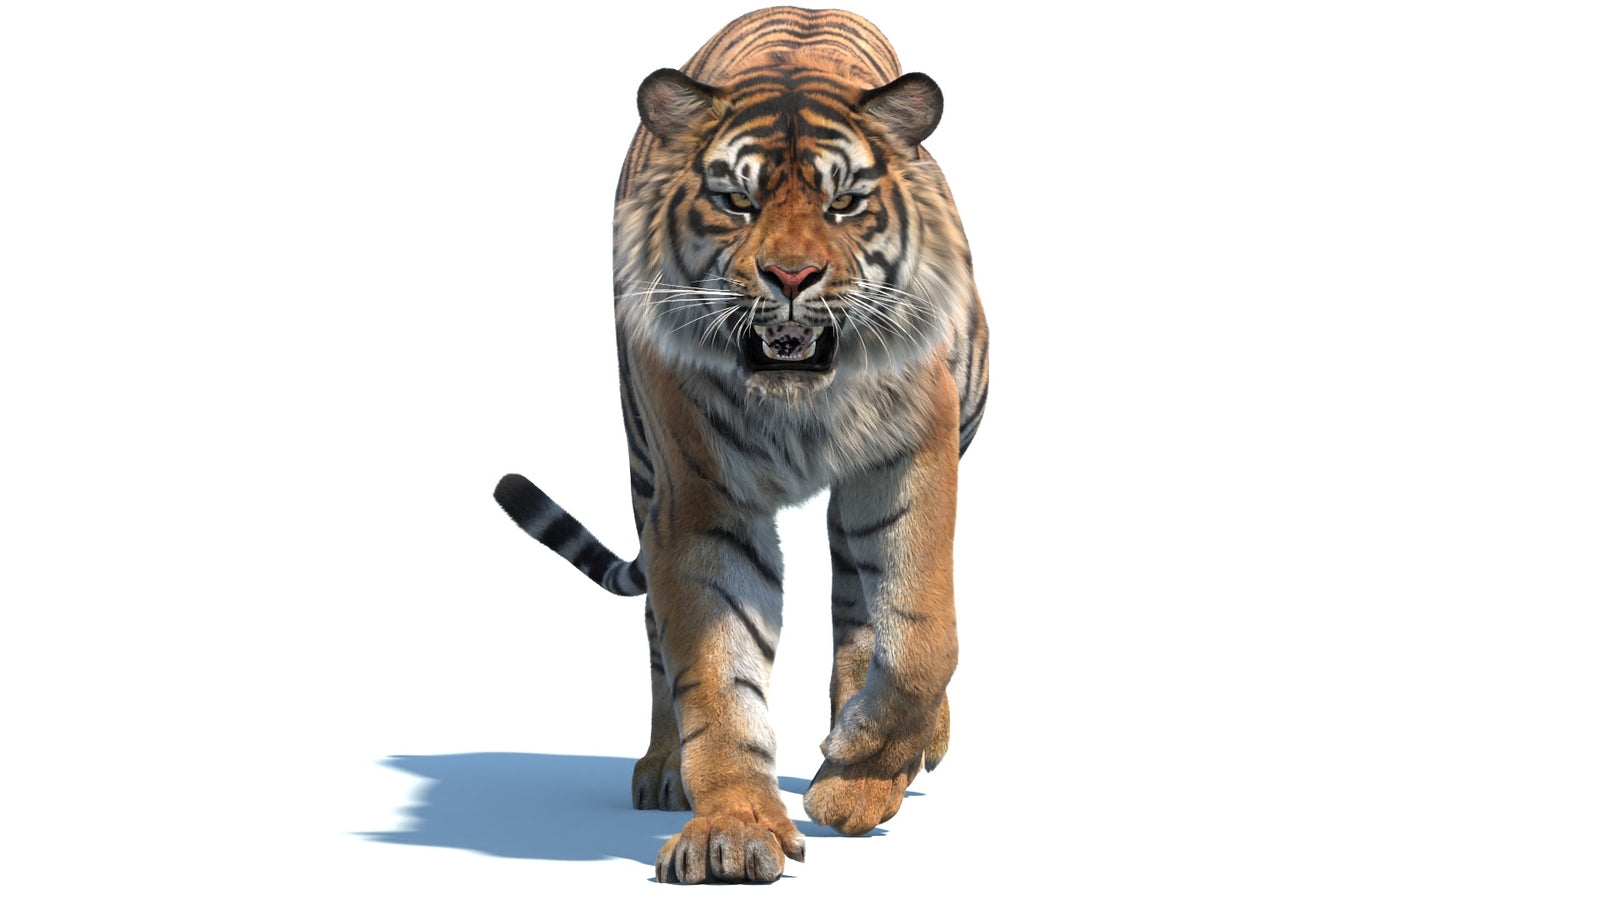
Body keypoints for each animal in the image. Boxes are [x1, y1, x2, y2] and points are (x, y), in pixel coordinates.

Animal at [494, 6, 988, 884]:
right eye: (735, 201)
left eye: (845, 203)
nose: (790, 277)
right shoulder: (700, 504)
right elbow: (718, 675)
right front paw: (731, 832)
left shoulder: (912, 459)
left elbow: (922, 634)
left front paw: (857, 779)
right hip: (643, 466)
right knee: (658, 637)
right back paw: (664, 769)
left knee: (861, 610)